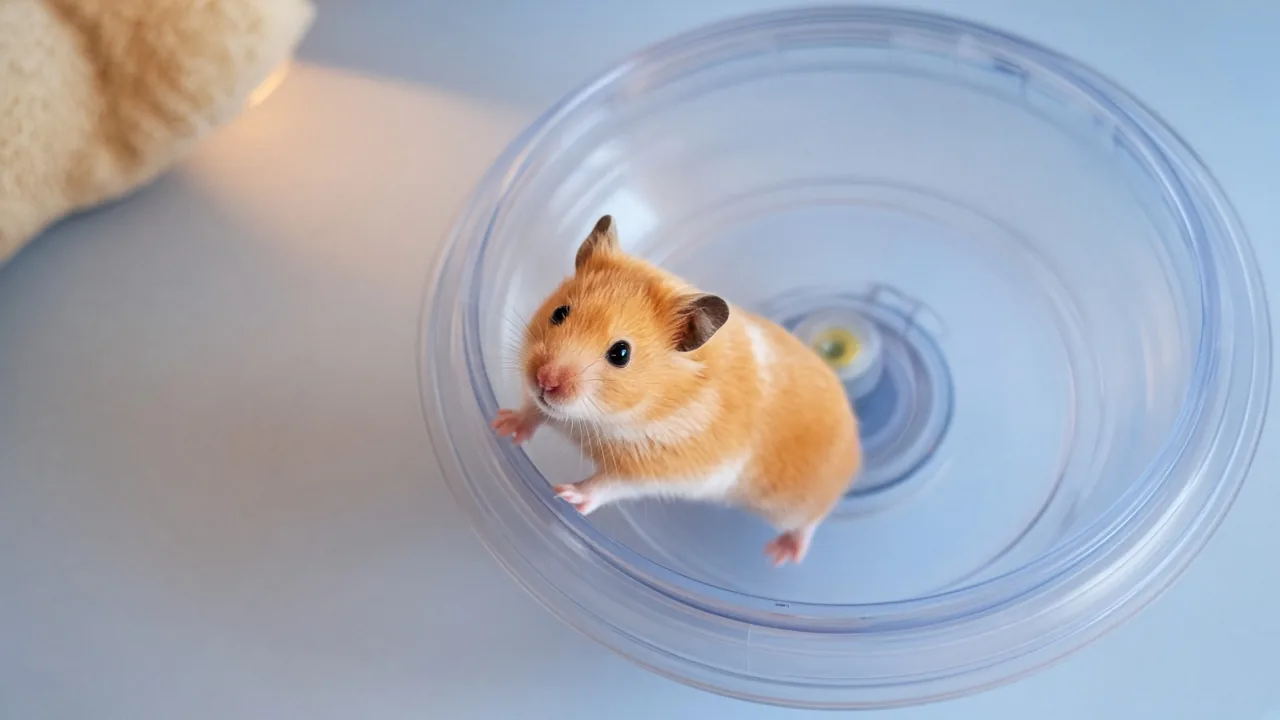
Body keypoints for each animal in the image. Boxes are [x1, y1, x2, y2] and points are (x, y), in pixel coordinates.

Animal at [493, 215, 861, 565]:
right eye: (559, 313)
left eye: (620, 353)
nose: (545, 380)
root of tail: (855, 442)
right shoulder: (550, 406)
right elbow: (533, 411)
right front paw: (502, 425)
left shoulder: (661, 469)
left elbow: (609, 483)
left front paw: (567, 495)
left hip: (792, 503)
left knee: (809, 521)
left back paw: (781, 555)